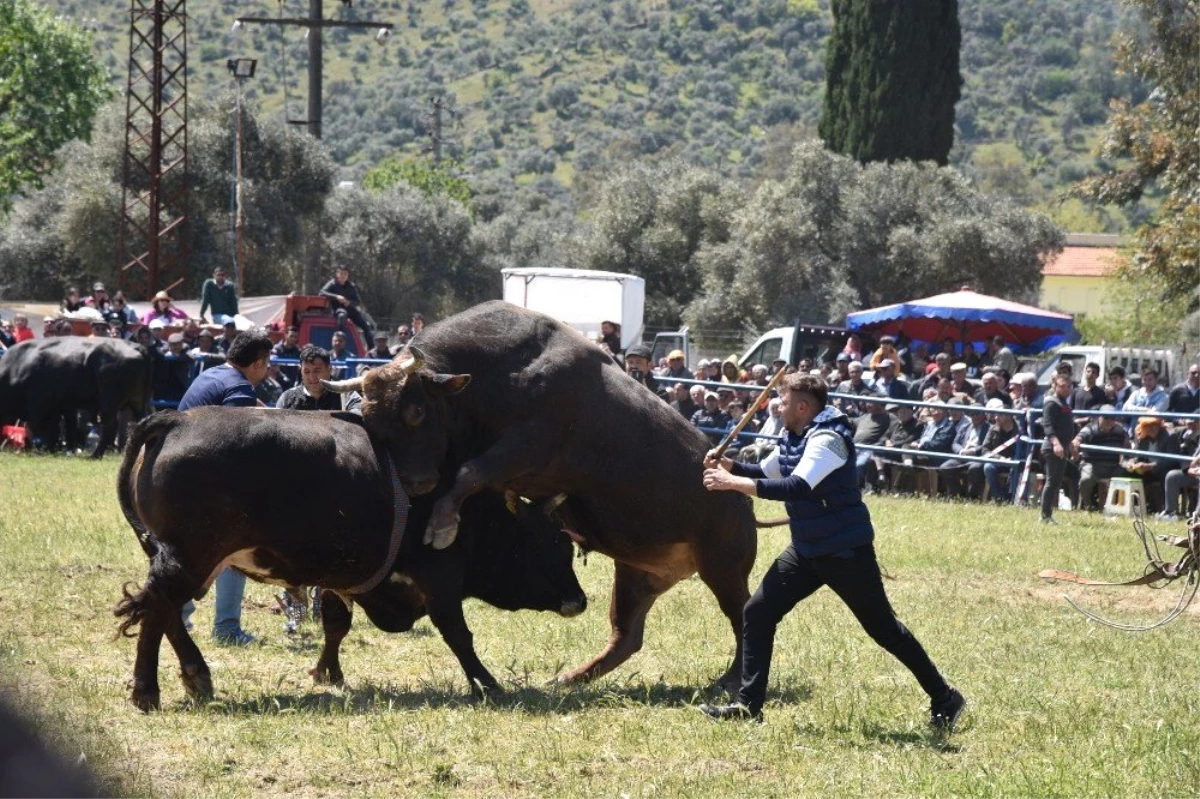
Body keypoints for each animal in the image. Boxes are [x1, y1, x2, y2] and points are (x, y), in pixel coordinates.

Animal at [0, 333, 152, 453]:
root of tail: (136, 347)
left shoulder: (37, 406)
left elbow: (41, 429)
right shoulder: (59, 408)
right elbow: (56, 429)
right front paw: (50, 449)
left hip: (109, 404)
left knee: (110, 427)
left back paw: (96, 455)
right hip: (137, 402)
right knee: (141, 422)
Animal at [113, 407, 585, 705]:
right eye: (548, 544)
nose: (579, 600)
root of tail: (176, 418)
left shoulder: (340, 574)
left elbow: (336, 623)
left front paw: (328, 672)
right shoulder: (441, 581)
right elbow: (458, 634)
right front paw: (487, 683)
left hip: (177, 558)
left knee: (163, 610)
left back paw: (196, 674)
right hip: (189, 558)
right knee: (159, 610)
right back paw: (147, 690)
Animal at [326, 302, 758, 686]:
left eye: (415, 411)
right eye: (370, 419)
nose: (414, 484)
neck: (503, 368)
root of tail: (739, 492)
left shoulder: (526, 445)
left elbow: (470, 472)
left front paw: (442, 525)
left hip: (723, 567)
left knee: (742, 617)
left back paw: (731, 680)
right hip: (637, 575)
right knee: (627, 636)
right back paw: (571, 678)